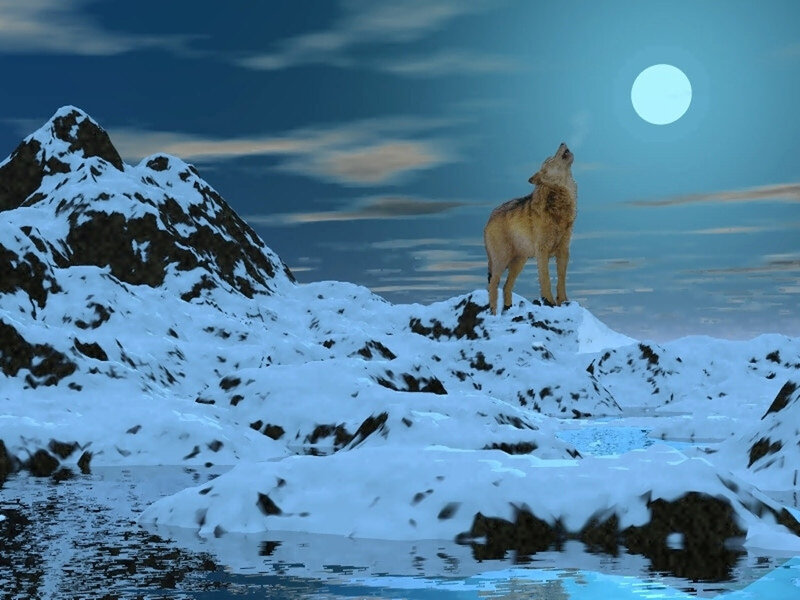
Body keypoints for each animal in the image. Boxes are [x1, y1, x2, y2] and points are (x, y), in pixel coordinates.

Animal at [484, 142, 577, 315]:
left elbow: (561, 279)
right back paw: (493, 314)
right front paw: (550, 303)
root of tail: (489, 217)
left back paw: (508, 310)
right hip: (501, 261)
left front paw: (564, 301)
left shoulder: (564, 250)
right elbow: (546, 279)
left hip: (519, 262)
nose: (562, 142)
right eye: (549, 159)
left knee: (506, 286)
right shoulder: (542, 251)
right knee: (492, 285)